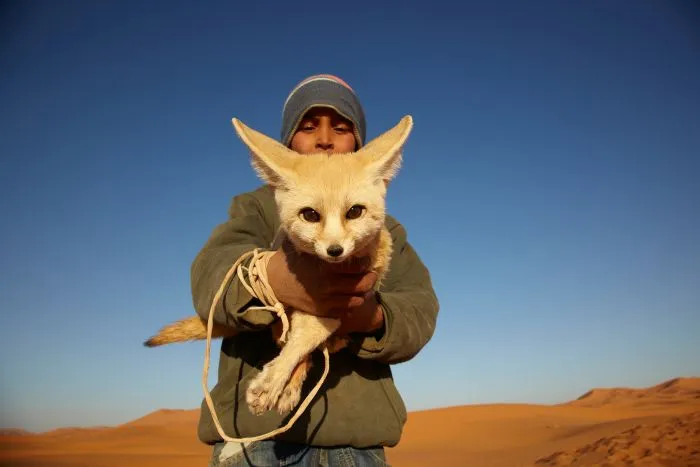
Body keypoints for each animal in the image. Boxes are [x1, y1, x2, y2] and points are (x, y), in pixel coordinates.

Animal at [145, 114, 412, 416]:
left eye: (355, 212)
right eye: (310, 215)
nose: (335, 250)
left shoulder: (346, 305)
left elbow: (308, 338)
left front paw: (277, 380)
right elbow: (301, 340)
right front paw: (276, 380)